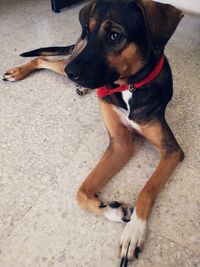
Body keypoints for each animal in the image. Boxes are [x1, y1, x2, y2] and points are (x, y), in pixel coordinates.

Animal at [3, 1, 184, 266]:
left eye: (115, 36)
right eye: (88, 31)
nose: (72, 73)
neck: (129, 86)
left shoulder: (170, 151)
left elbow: (147, 189)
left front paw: (134, 231)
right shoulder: (119, 143)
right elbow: (81, 192)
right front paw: (112, 210)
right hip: (70, 58)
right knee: (43, 58)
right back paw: (18, 72)